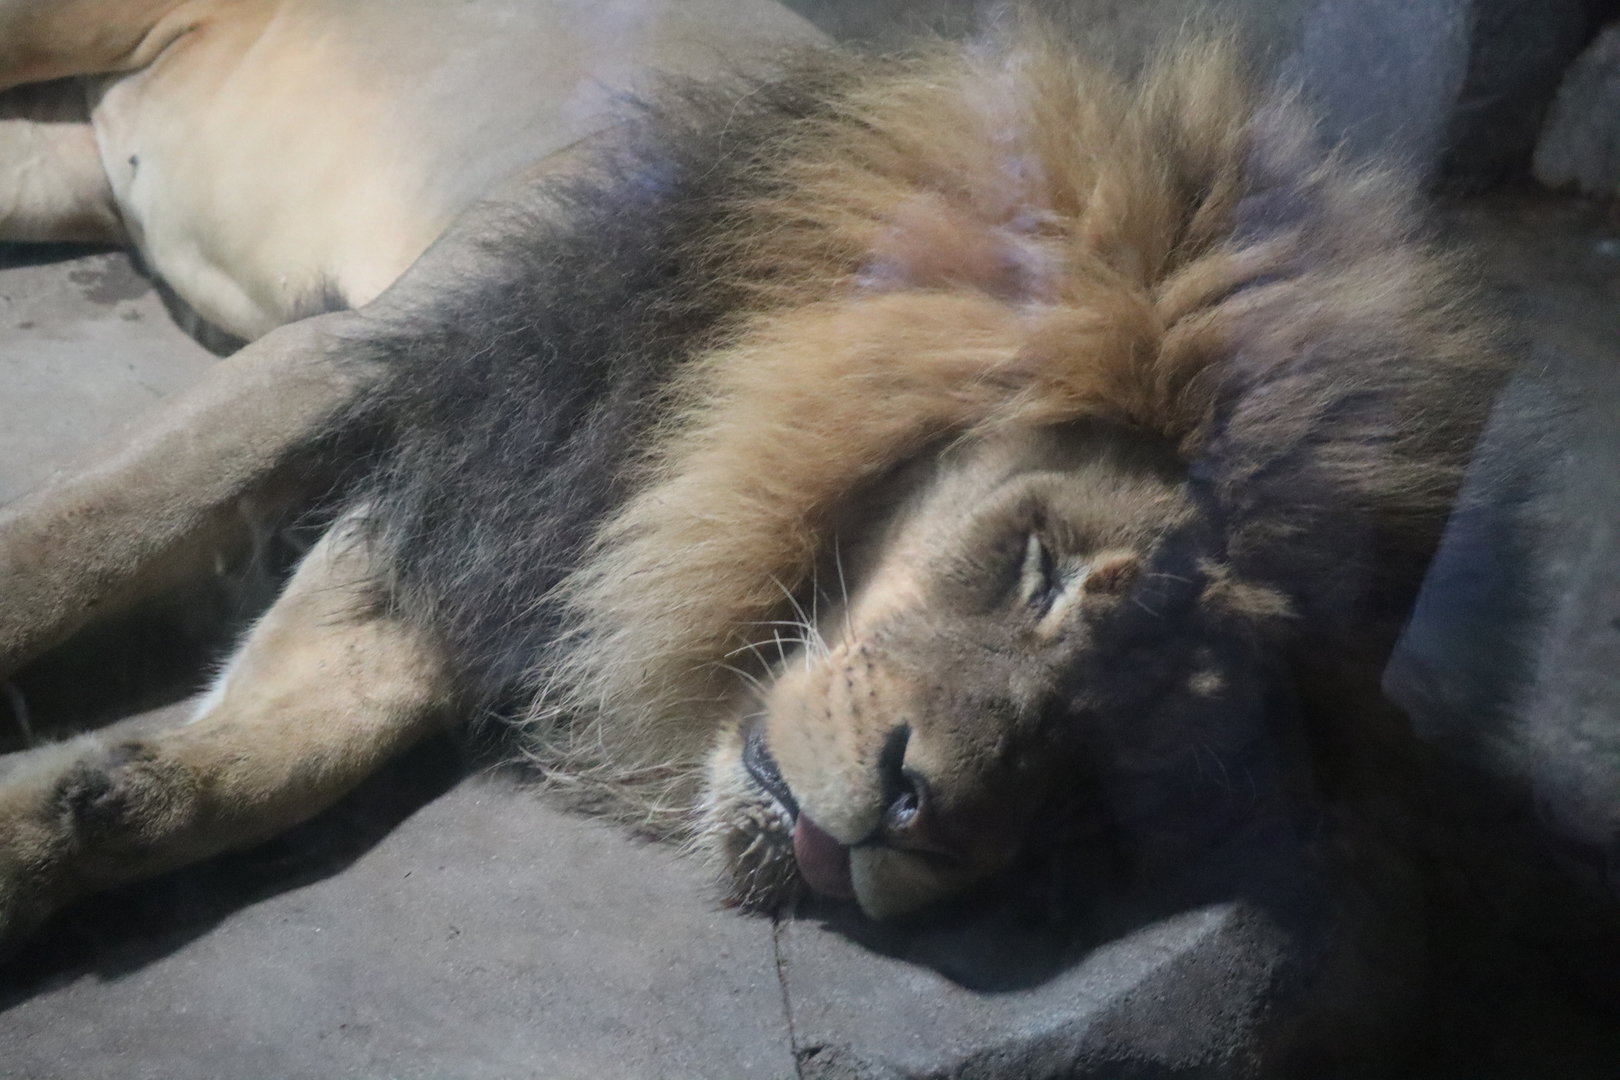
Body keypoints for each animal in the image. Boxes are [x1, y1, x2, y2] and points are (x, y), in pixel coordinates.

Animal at [0, 12, 1504, 964]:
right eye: (1046, 570)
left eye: (1109, 761)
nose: (921, 820)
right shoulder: (387, 364)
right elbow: (77, 542)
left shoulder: (515, 533)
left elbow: (291, 743)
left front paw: (63, 821)